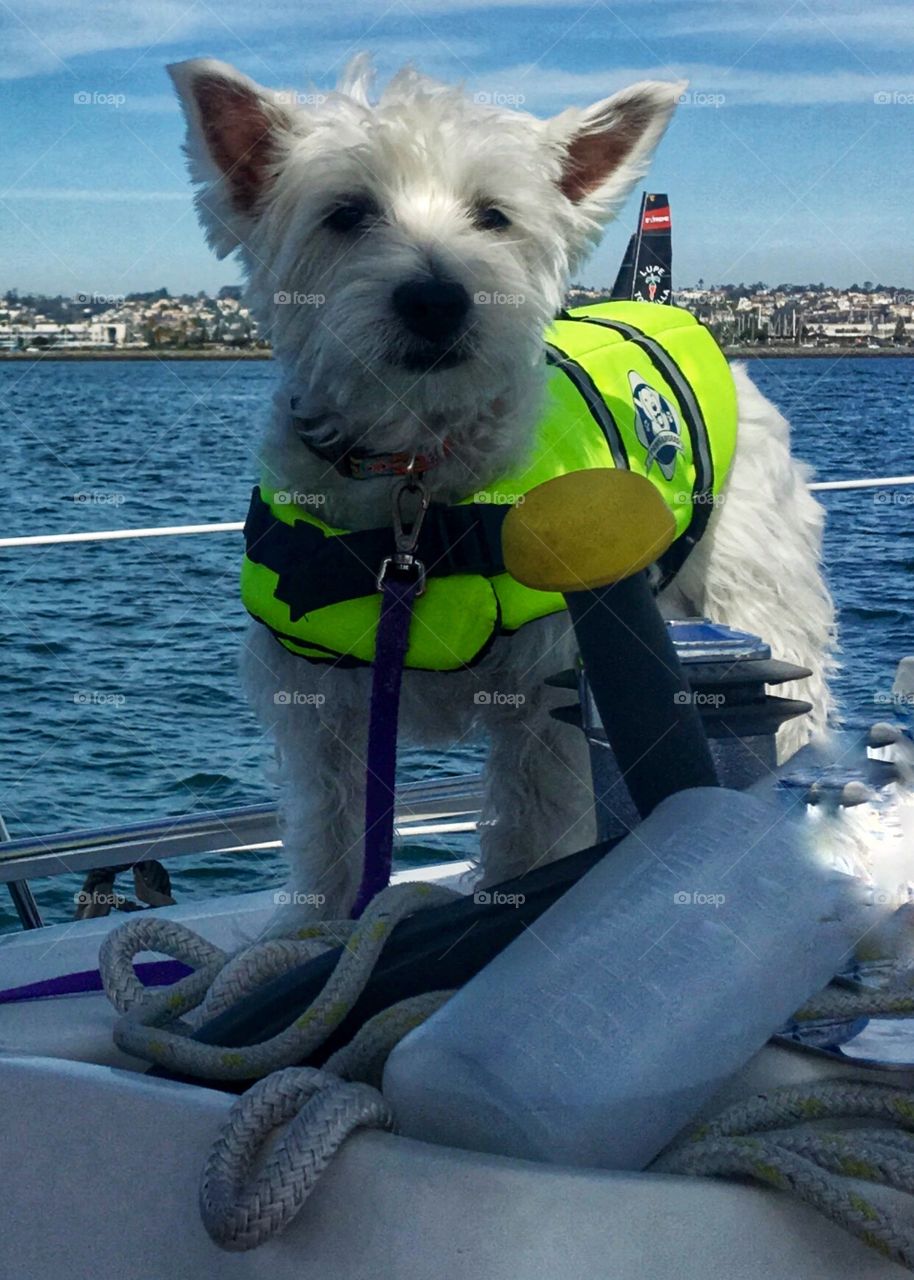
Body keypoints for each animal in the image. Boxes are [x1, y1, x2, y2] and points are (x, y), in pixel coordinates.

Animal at [167, 60, 829, 921]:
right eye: (347, 213)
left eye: (493, 216)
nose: (436, 299)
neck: (412, 478)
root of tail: (663, 307)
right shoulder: (325, 704)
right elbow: (331, 835)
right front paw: (316, 931)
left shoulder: (548, 697)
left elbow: (527, 825)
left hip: (759, 601)